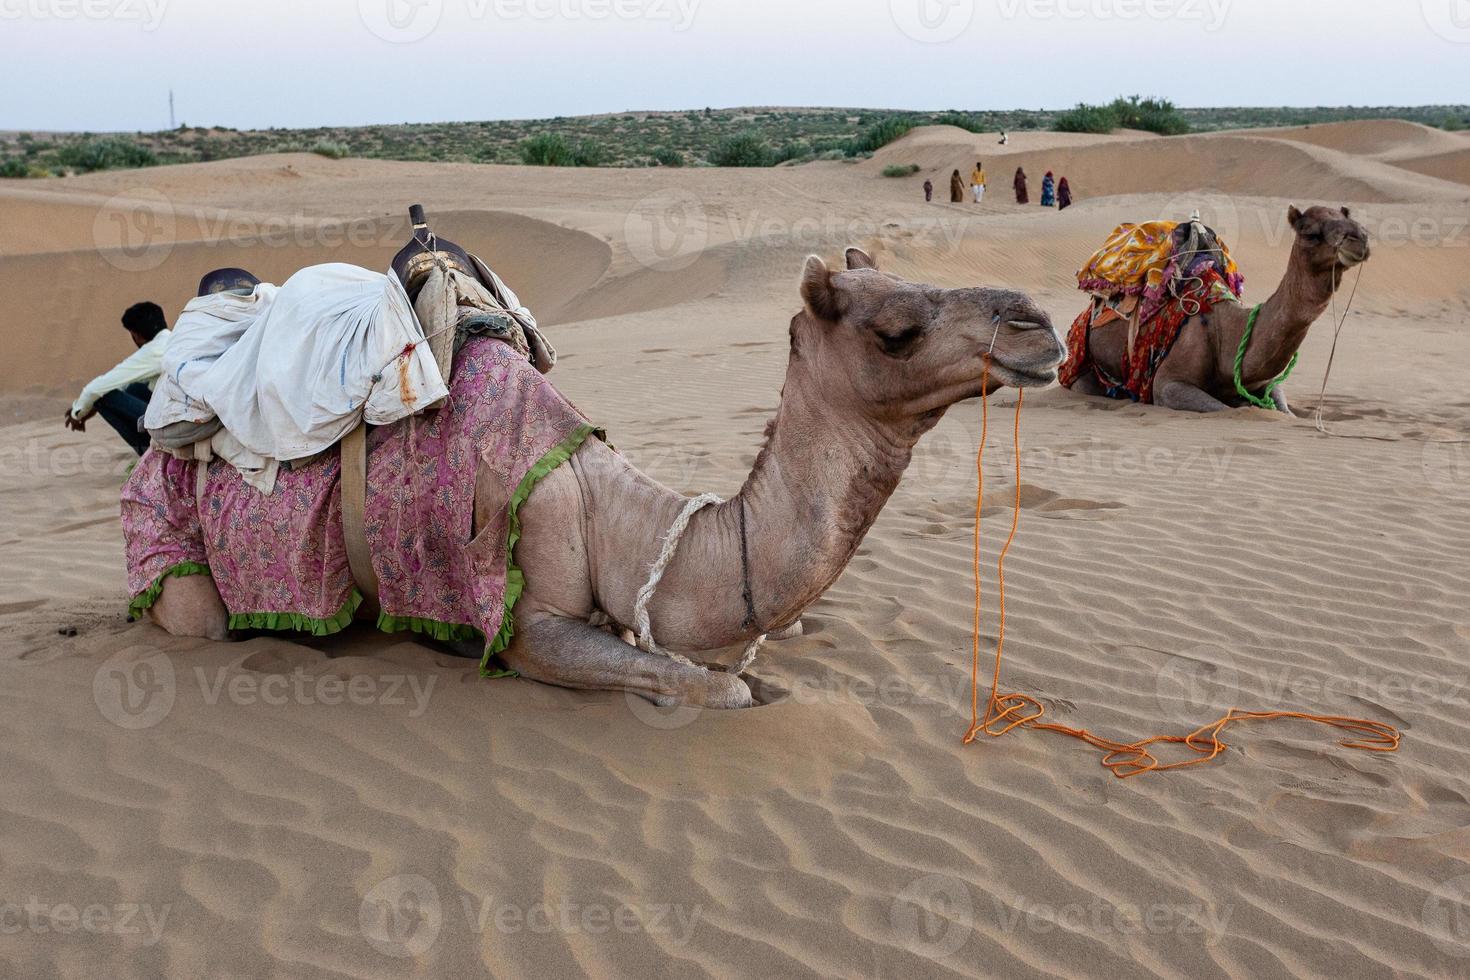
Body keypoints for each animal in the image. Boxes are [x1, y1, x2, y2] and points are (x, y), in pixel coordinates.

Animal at [1070, 202, 1364, 411]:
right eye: (1310, 233)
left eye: (1352, 221)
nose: (1359, 239)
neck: (1227, 334)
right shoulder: (1167, 384)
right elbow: (1222, 408)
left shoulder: (1266, 384)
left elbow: (1283, 409)